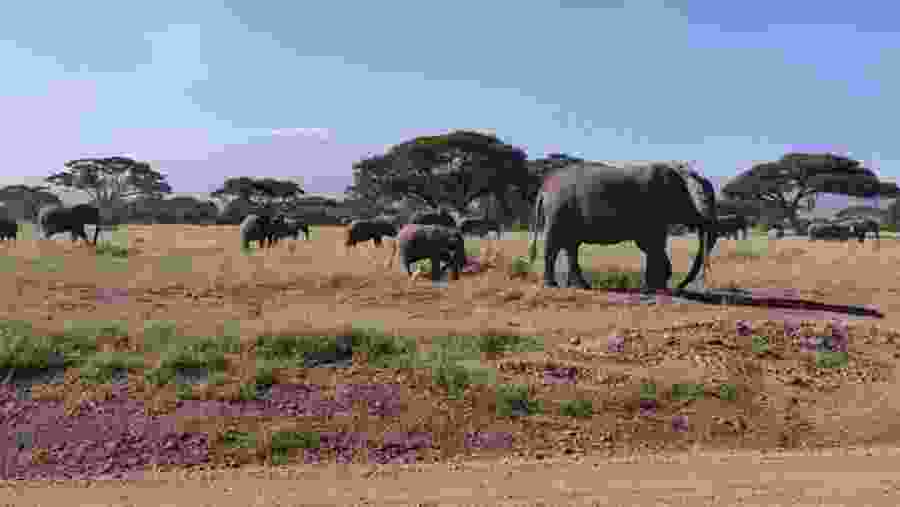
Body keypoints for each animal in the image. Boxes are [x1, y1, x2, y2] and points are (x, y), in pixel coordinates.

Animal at [528, 161, 717, 292]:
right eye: (702, 200)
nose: (679, 286)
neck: (679, 172)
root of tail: (544, 187)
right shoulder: (652, 206)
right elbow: (652, 243)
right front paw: (657, 287)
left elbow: (650, 245)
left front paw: (656, 287)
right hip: (558, 210)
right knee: (555, 245)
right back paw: (552, 285)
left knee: (571, 246)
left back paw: (580, 286)